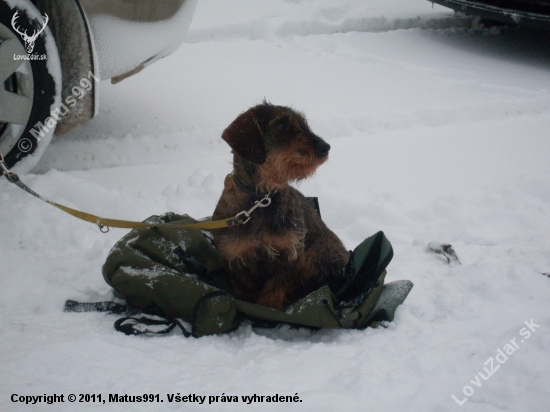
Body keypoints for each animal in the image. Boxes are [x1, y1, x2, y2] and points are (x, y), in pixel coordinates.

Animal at [212, 102, 350, 308]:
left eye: (304, 124)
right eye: (280, 125)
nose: (325, 147)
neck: (261, 200)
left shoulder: (290, 254)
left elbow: (274, 290)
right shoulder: (235, 258)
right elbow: (246, 290)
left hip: (318, 252)